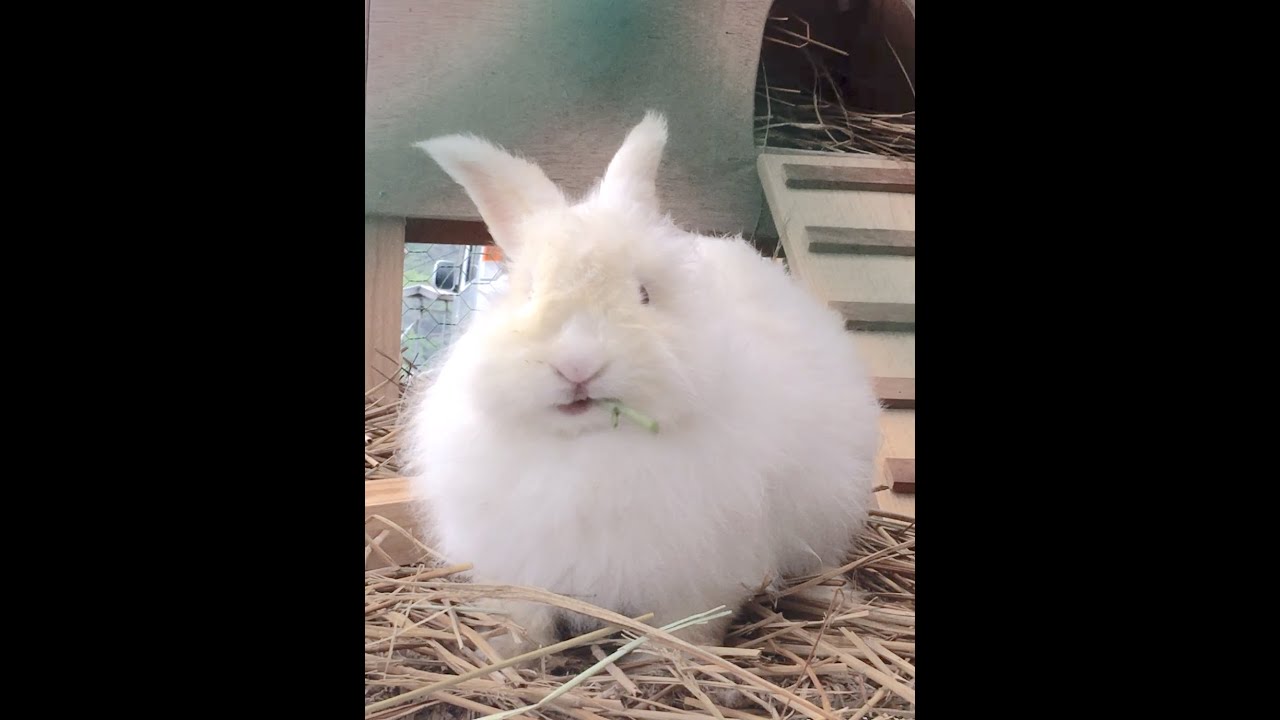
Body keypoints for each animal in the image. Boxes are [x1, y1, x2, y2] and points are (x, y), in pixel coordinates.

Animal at [402, 111, 882, 656]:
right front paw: (509, 650)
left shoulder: (697, 581)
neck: (589, 447)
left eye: (645, 294)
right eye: (528, 292)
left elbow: (683, 629)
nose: (578, 364)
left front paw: (664, 661)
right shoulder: (519, 566)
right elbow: (527, 616)